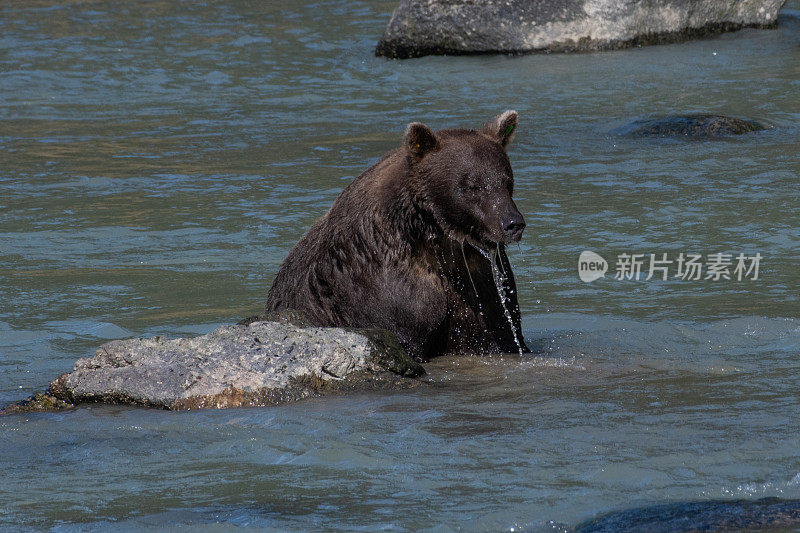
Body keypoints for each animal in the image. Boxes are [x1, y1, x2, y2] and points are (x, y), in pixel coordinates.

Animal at [264, 112, 532, 362]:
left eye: (506, 181)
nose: (513, 223)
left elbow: (494, 330)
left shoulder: (477, 279)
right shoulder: (384, 282)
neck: (435, 236)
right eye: (473, 186)